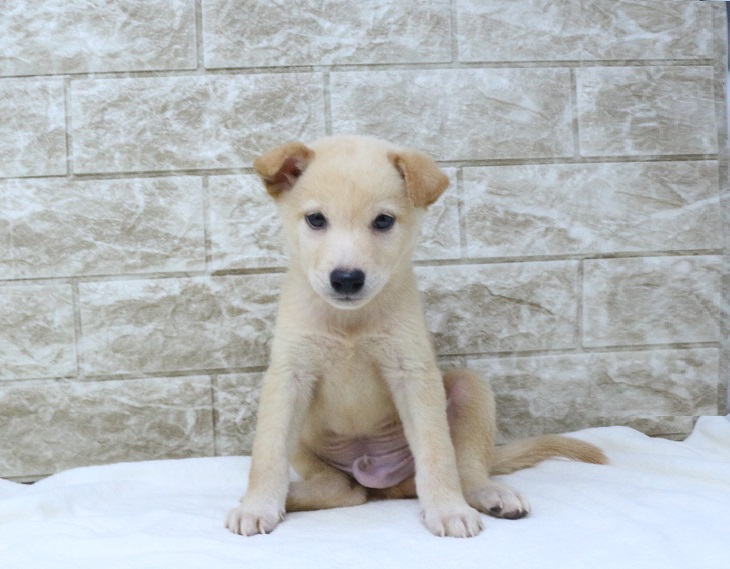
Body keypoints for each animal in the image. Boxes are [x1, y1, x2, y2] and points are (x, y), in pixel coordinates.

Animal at [225, 134, 604, 536]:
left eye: (383, 221)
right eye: (315, 219)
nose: (347, 279)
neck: (351, 323)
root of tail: (378, 480)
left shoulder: (413, 373)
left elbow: (437, 453)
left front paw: (448, 510)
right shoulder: (288, 377)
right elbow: (267, 454)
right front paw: (257, 506)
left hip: (470, 389)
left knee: (465, 470)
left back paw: (490, 494)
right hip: (305, 437)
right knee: (342, 489)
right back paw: (289, 496)